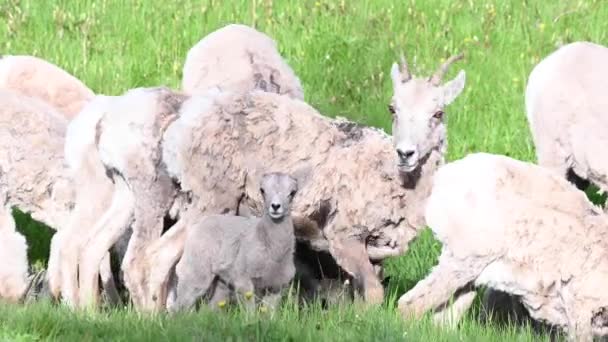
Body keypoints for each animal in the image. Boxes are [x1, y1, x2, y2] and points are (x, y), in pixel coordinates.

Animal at [169, 172, 302, 312]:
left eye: (292, 192)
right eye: (262, 190)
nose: (275, 206)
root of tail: (200, 223)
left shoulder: (276, 287)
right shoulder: (243, 282)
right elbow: (250, 312)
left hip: (222, 281)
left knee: (210, 308)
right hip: (196, 270)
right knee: (180, 306)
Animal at [396, 153, 608, 342]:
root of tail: (444, 175)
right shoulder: (580, 307)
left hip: (471, 275)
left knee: (442, 319)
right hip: (462, 262)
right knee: (410, 304)